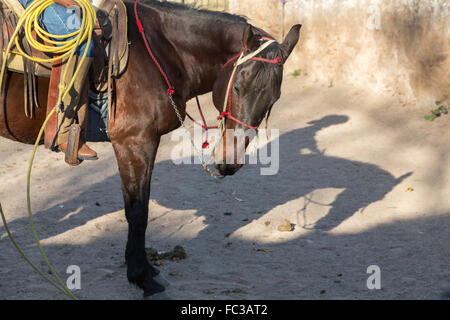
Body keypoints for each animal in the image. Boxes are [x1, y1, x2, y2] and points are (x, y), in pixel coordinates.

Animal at [0, 1, 302, 298]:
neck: (160, 51)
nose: (230, 161)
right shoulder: (134, 142)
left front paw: (145, 268)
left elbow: (141, 205)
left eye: (274, 98)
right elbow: (137, 212)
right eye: (237, 87)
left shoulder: (145, 144)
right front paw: (142, 278)